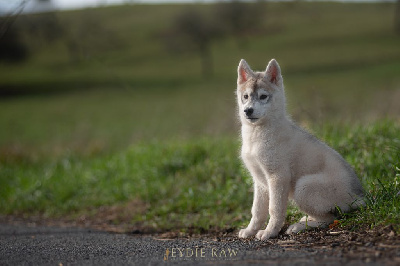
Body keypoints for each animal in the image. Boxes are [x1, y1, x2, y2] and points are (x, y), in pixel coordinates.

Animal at [236, 58, 364, 241]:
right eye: (245, 96)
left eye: (263, 96)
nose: (248, 111)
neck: (257, 134)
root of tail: (359, 196)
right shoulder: (260, 181)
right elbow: (257, 211)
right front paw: (250, 231)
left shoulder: (278, 177)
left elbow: (274, 209)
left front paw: (269, 232)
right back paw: (304, 221)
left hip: (303, 187)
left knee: (329, 218)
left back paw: (298, 227)